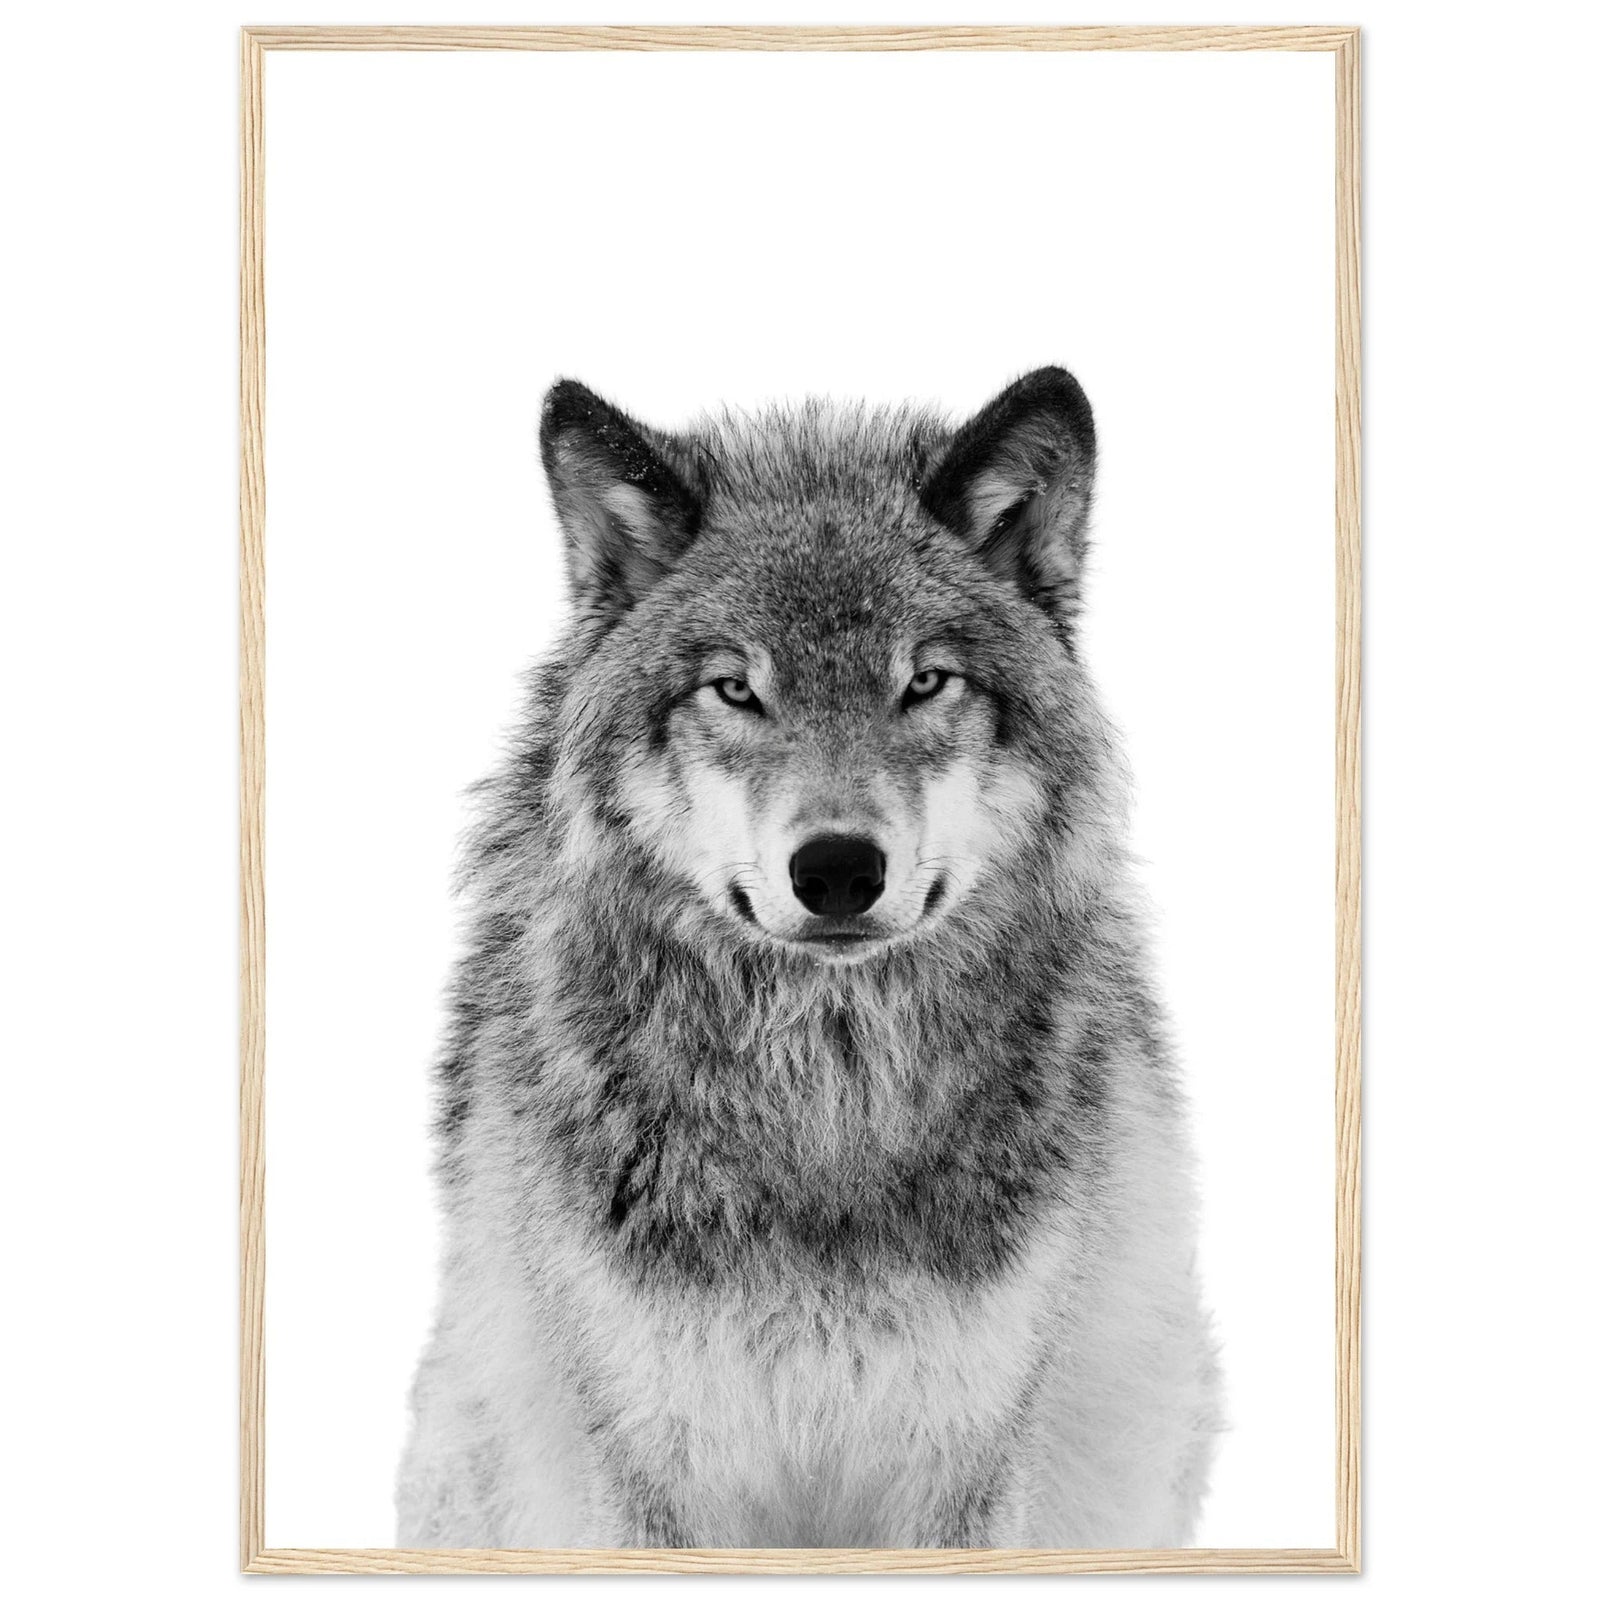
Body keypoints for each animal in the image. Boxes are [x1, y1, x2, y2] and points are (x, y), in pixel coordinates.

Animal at [395, 367, 1220, 1549]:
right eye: (737, 689)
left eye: (925, 681)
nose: (836, 869)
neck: (824, 1106)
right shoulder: (644, 1463)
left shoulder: (969, 1459)